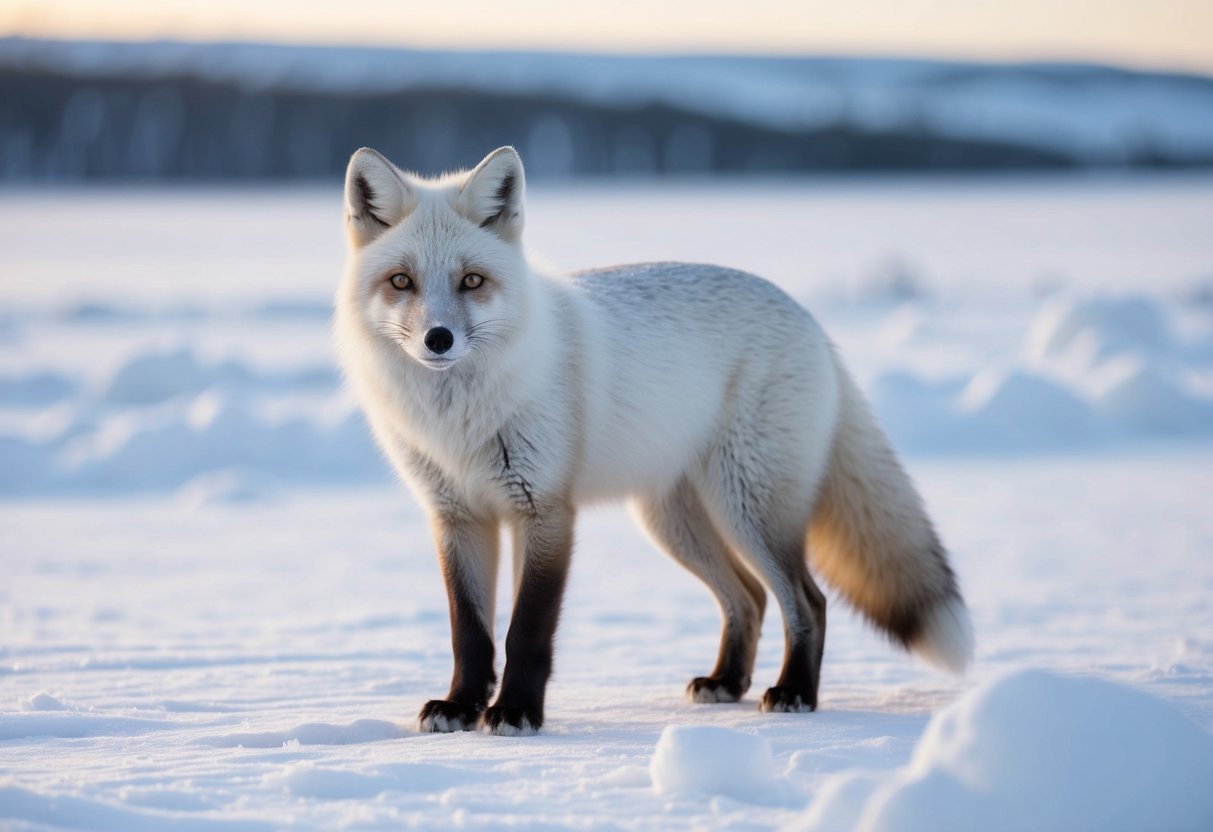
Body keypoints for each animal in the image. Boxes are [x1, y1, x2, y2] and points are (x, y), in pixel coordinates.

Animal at [334, 146, 974, 736]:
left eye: (471, 280)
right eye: (402, 281)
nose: (438, 339)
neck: (459, 421)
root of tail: (811, 321)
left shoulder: (545, 511)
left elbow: (526, 632)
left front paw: (516, 712)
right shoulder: (459, 518)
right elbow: (469, 632)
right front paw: (463, 706)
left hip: (750, 510)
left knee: (806, 600)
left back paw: (794, 692)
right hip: (675, 523)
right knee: (749, 597)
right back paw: (727, 682)